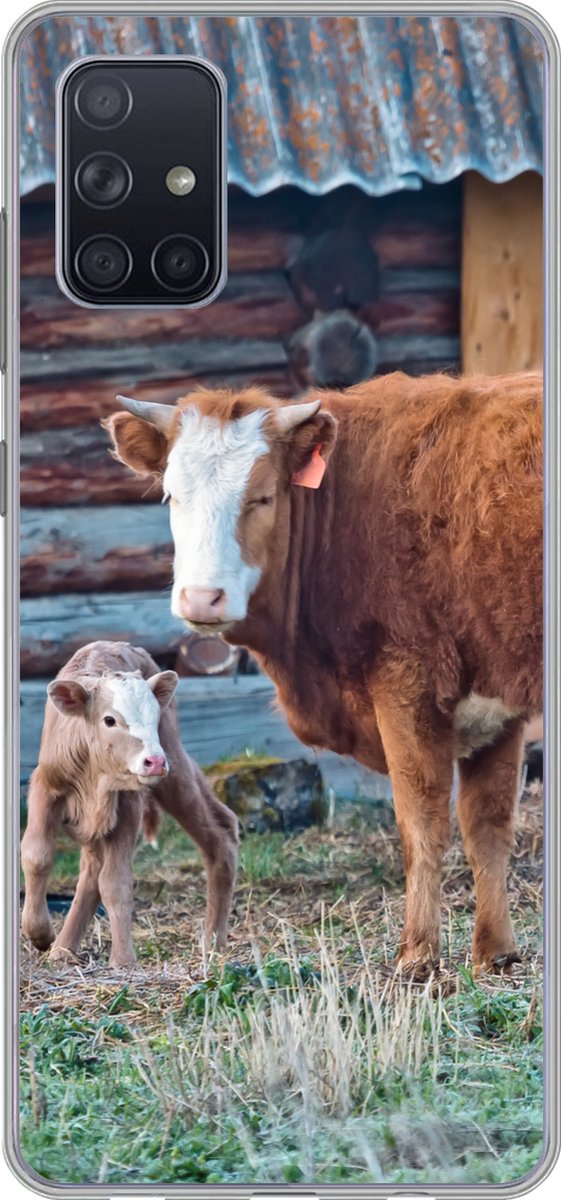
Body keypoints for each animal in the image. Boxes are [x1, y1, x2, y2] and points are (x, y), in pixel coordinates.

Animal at [21, 641, 239, 967]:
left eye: (154, 717)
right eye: (109, 720)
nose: (155, 761)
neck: (94, 775)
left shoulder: (128, 804)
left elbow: (115, 882)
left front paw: (123, 960)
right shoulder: (46, 785)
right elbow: (37, 854)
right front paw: (39, 934)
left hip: (173, 764)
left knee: (220, 831)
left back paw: (214, 944)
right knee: (90, 870)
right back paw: (62, 949)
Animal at [104, 371, 542, 974]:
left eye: (263, 496)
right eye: (172, 495)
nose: (201, 597)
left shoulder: (408, 683)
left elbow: (422, 824)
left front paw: (417, 957)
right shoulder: (494, 701)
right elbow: (488, 826)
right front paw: (494, 954)